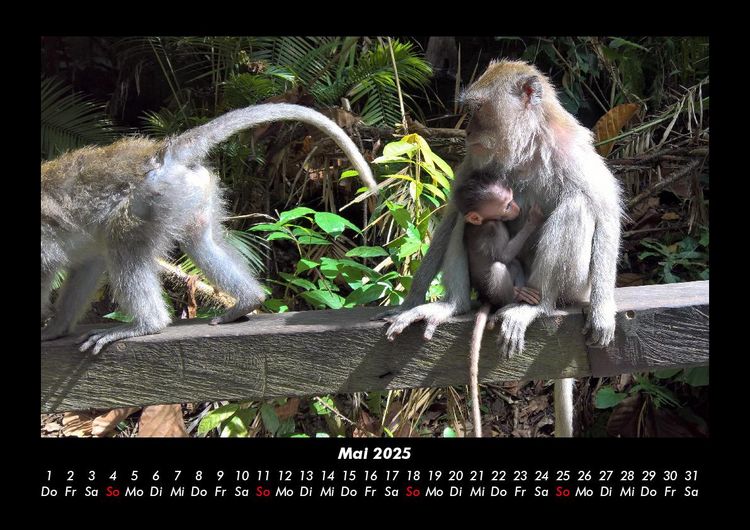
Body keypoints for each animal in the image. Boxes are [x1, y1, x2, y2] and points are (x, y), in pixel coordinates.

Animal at [41, 103, 377, 354]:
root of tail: (163, 152)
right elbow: (86, 263)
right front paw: (56, 327)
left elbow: (50, 268)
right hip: (188, 192)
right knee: (199, 241)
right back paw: (249, 299)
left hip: (151, 197)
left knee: (123, 242)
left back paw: (147, 324)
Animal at [452, 171, 543, 437]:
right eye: (506, 204)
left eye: (511, 200)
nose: (517, 208)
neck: (484, 221)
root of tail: (486, 298)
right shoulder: (492, 227)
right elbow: (502, 256)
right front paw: (532, 220)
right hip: (494, 292)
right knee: (500, 266)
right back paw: (514, 300)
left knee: (512, 265)